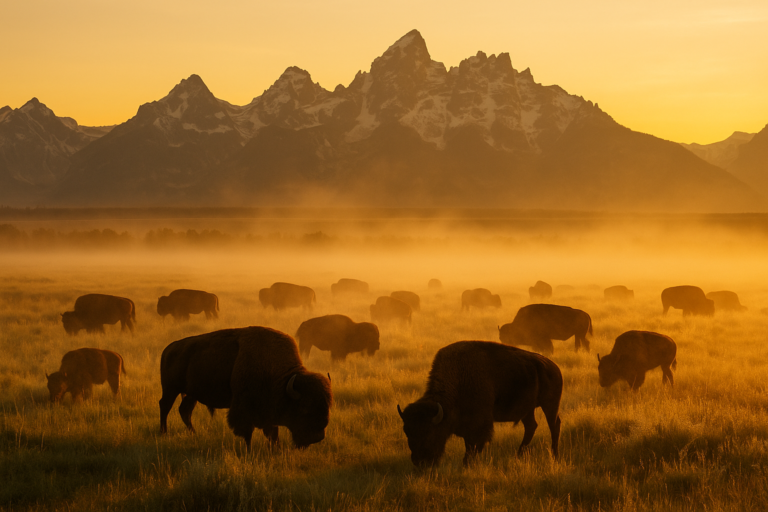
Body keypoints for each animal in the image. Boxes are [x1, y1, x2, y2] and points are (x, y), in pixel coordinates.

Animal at [159, 326, 332, 450]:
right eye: (304, 408)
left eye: (327, 407)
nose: (317, 437)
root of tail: (168, 349)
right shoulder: (243, 409)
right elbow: (248, 432)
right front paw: (249, 449)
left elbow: (272, 432)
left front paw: (276, 447)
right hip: (170, 389)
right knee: (165, 406)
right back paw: (163, 433)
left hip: (191, 394)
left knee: (185, 411)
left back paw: (194, 434)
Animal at [397, 341, 562, 466]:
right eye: (407, 431)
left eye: (430, 432)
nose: (419, 462)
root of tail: (554, 367)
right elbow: (469, 445)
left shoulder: (479, 425)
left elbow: (473, 446)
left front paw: (466, 464)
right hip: (527, 410)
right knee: (531, 426)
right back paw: (519, 454)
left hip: (550, 405)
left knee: (554, 425)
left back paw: (554, 455)